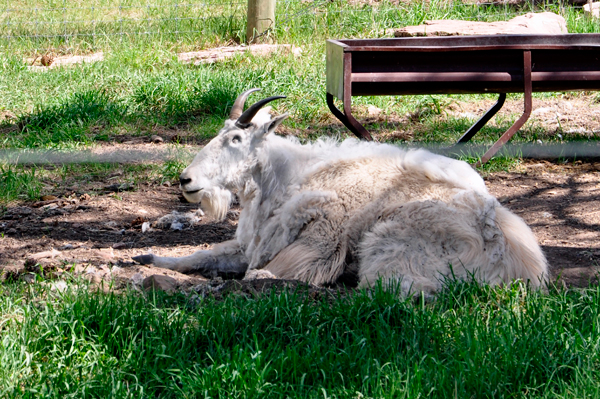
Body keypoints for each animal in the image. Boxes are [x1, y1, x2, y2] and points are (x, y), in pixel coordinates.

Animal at [134, 89, 548, 296]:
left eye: (236, 139)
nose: (186, 181)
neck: (287, 179)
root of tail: (519, 265)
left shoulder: (322, 237)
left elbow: (275, 269)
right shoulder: (252, 244)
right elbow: (201, 255)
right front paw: (148, 258)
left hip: (387, 247)